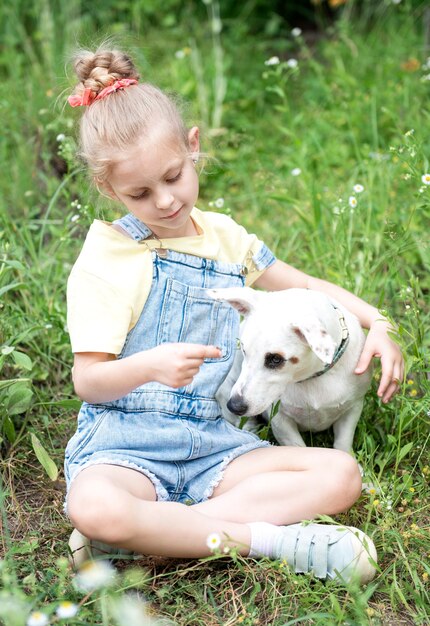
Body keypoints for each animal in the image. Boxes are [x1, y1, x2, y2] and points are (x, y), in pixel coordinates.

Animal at [212, 286, 372, 450]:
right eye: (243, 349)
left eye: (276, 359)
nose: (234, 406)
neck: (313, 376)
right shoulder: (280, 421)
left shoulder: (352, 409)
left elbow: (343, 444)